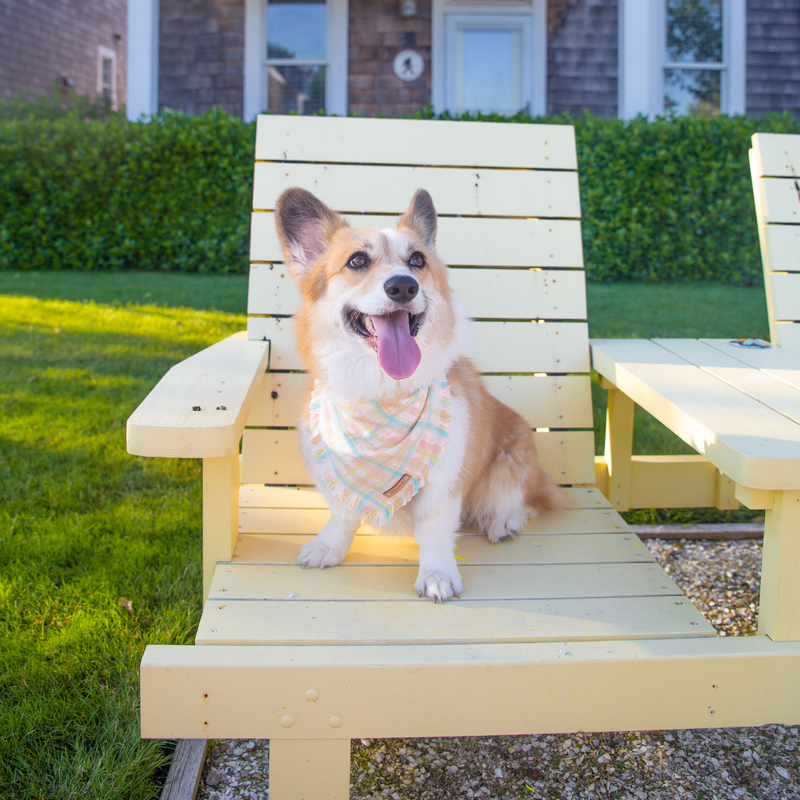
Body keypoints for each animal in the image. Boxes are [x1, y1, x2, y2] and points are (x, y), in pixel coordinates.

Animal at [276, 186, 564, 600]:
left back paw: (503, 521)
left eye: (417, 260)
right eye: (357, 260)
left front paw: (437, 575)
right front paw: (329, 547)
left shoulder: (445, 483)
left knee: (522, 500)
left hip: (512, 463)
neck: (382, 395)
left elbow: (434, 529)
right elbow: (343, 514)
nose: (403, 286)